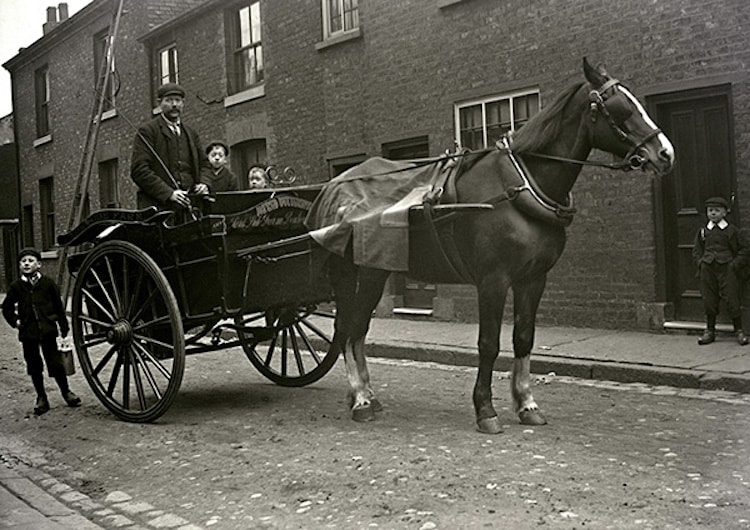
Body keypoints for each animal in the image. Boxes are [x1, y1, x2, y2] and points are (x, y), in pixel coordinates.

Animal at [324, 57, 676, 432]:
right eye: (621, 106)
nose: (665, 153)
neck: (519, 188)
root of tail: (336, 184)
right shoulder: (493, 279)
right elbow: (489, 342)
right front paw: (485, 408)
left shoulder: (533, 279)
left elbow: (523, 338)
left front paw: (527, 403)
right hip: (366, 273)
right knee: (352, 329)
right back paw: (361, 398)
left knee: (354, 330)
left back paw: (366, 394)